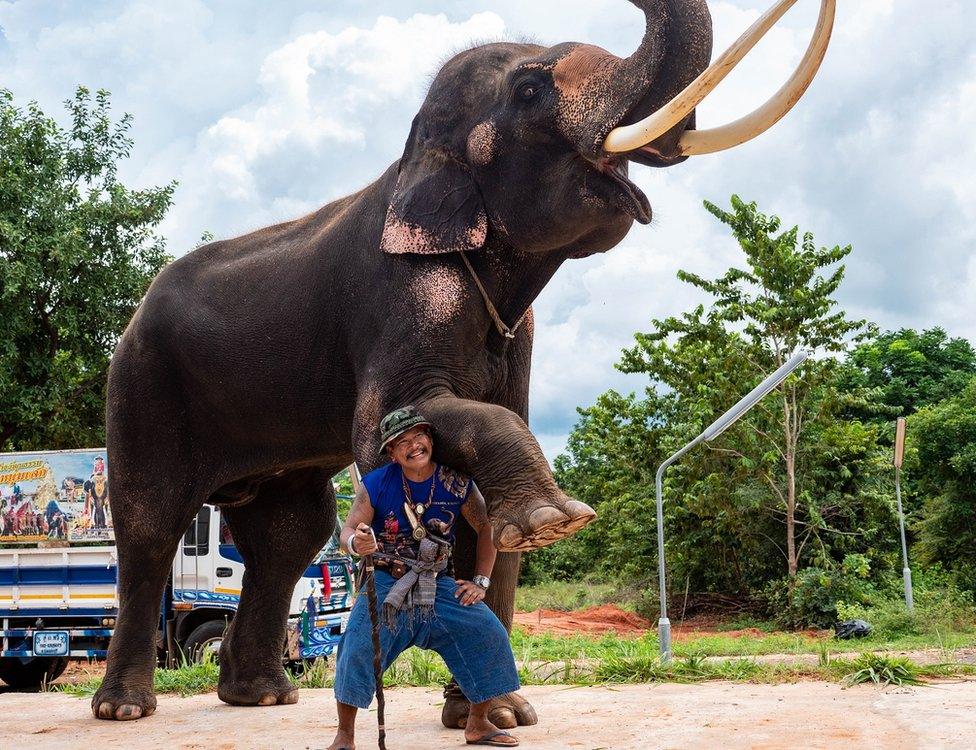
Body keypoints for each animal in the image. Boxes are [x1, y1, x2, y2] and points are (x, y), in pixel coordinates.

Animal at [93, 0, 834, 724]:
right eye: (530, 90)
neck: (413, 154)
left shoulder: (517, 332)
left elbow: (486, 498)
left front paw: (499, 714)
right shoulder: (399, 296)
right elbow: (388, 430)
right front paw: (553, 520)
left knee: (288, 534)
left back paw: (263, 697)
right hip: (141, 383)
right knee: (152, 522)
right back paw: (126, 709)